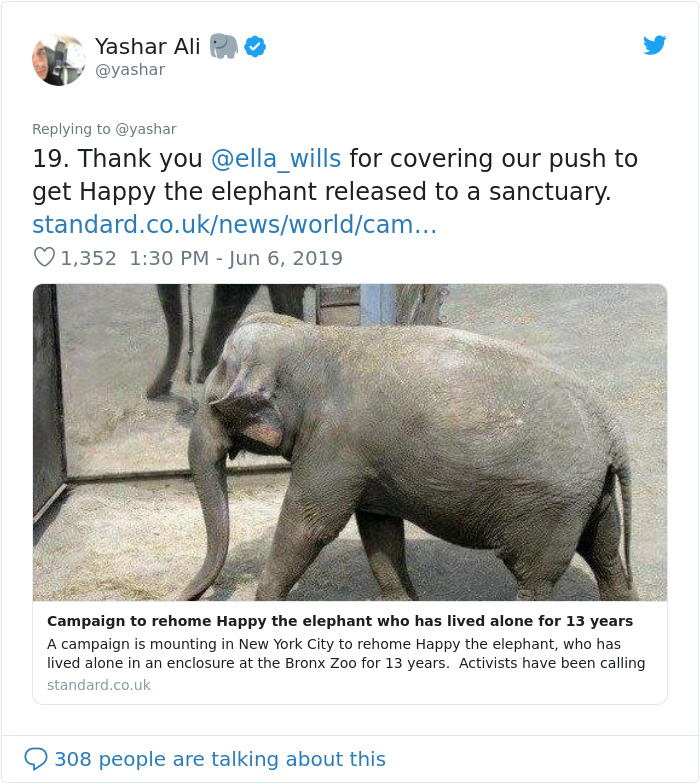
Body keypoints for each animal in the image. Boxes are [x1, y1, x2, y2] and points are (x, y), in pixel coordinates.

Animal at [182, 312, 638, 602]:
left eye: (214, 397)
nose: (186, 596)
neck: (317, 338)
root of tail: (612, 430)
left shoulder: (334, 445)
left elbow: (311, 524)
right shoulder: (366, 459)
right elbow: (378, 528)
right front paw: (402, 602)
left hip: (549, 506)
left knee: (535, 577)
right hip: (589, 496)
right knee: (605, 554)